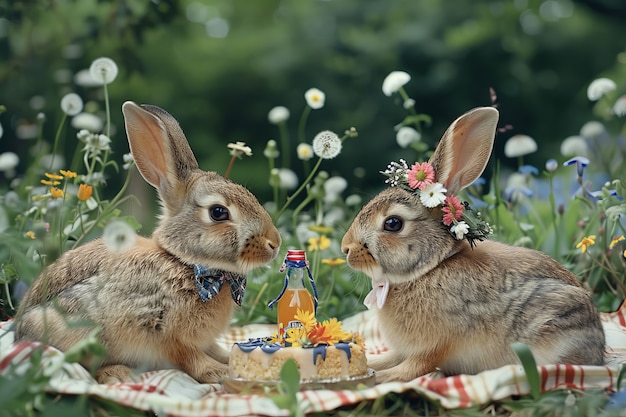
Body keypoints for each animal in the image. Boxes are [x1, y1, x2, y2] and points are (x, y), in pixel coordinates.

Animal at [14, 102, 280, 382]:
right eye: (218, 212)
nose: (274, 243)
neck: (185, 262)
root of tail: (20, 330)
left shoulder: (201, 339)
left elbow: (214, 349)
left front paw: (230, 359)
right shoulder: (164, 331)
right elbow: (189, 357)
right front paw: (217, 373)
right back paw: (117, 373)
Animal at [342, 108, 604, 384]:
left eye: (393, 223)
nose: (345, 248)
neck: (430, 269)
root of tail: (598, 342)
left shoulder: (435, 346)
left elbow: (412, 368)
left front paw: (378, 379)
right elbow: (388, 359)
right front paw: (368, 365)